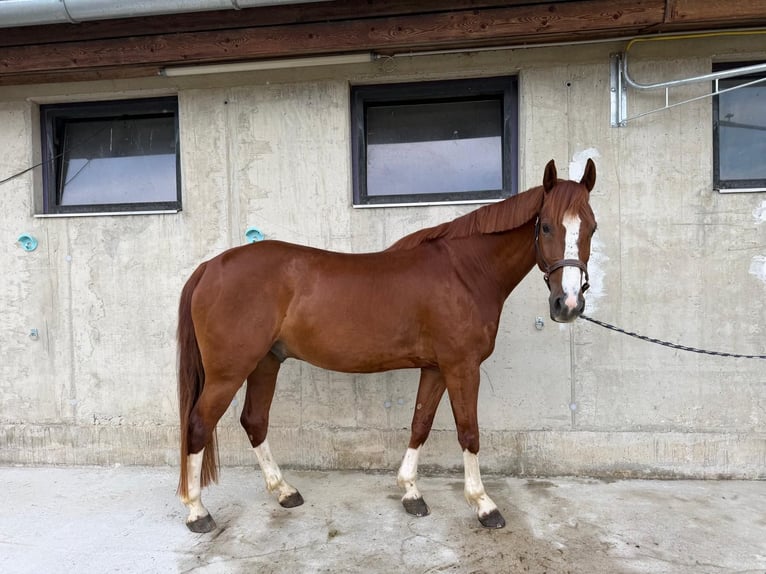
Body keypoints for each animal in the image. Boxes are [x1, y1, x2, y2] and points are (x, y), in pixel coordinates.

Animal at [177, 158, 597, 533]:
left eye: (591, 228)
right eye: (546, 226)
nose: (568, 304)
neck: (465, 272)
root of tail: (210, 267)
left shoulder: (436, 368)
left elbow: (420, 424)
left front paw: (411, 493)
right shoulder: (462, 366)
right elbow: (468, 431)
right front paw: (484, 505)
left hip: (266, 361)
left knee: (254, 420)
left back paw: (284, 491)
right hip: (229, 371)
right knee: (198, 424)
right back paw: (197, 512)